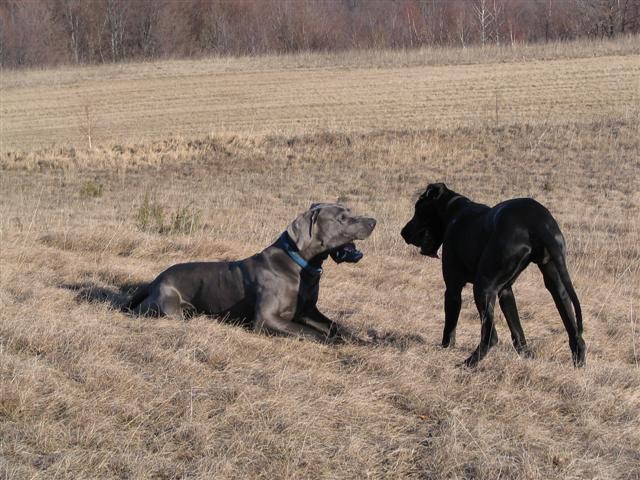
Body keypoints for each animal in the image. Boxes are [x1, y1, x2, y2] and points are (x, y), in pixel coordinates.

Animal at [125, 202, 376, 342]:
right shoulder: (266, 319)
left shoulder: (307, 311)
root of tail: (154, 281)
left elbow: (335, 326)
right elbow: (311, 333)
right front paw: (333, 342)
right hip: (170, 309)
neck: (300, 265)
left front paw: (359, 340)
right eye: (342, 218)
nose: (374, 221)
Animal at [402, 184, 588, 368]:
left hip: (482, 287)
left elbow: (449, 327)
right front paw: (526, 356)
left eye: (418, 208)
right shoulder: (505, 292)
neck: (452, 211)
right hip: (557, 286)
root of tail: (537, 221)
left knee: (491, 337)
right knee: (576, 335)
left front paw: (445, 348)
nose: (403, 232)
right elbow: (517, 330)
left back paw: (469, 363)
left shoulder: (453, 289)